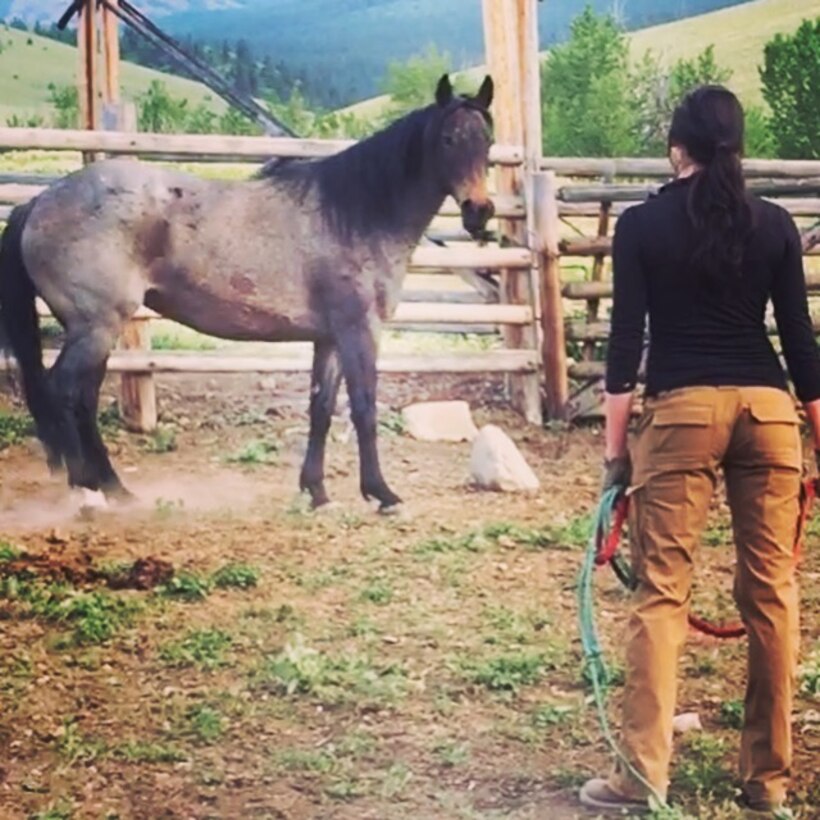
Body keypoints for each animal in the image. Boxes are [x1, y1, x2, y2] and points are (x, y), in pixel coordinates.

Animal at [0, 77, 494, 512]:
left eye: (487, 141)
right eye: (448, 140)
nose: (480, 211)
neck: (354, 213)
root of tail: (40, 201)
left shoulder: (329, 338)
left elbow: (321, 408)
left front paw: (316, 492)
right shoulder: (360, 331)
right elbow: (364, 408)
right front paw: (381, 493)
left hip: (97, 331)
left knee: (82, 400)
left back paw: (114, 488)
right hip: (95, 327)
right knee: (65, 393)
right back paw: (87, 490)